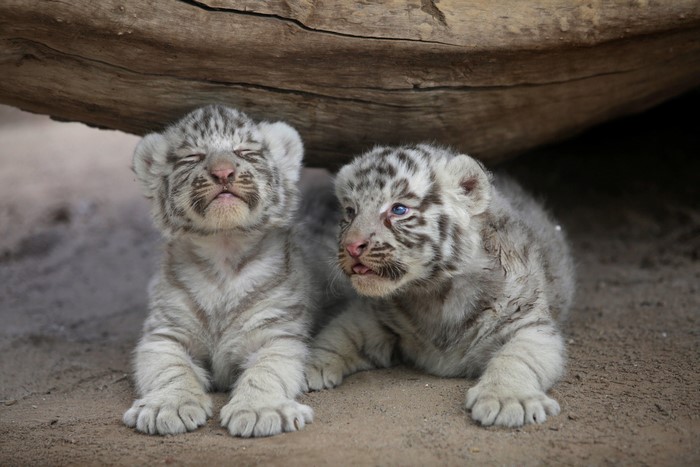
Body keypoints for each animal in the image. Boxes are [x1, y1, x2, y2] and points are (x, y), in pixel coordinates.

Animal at [123, 105, 322, 437]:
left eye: (245, 151)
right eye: (193, 156)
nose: (223, 172)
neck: (224, 251)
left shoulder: (277, 332)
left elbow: (266, 371)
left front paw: (260, 410)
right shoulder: (165, 333)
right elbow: (171, 369)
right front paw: (168, 407)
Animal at [305, 144, 575, 428]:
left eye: (398, 209)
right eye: (350, 211)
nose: (352, 246)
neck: (435, 294)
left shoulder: (529, 323)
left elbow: (518, 358)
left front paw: (507, 399)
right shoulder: (375, 316)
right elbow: (339, 335)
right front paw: (307, 366)